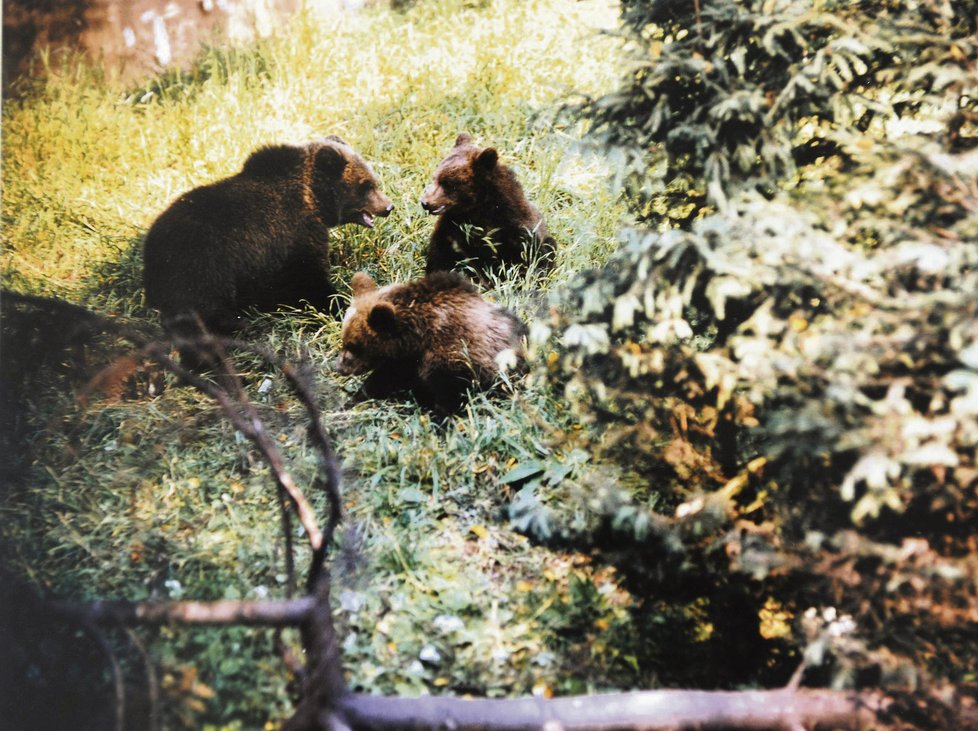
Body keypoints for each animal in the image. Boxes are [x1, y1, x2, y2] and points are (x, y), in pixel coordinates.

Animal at [142, 136, 392, 342]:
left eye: (373, 181)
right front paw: (340, 304)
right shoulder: (291, 237)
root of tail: (150, 248)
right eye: (366, 185)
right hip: (200, 263)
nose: (389, 207)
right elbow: (307, 279)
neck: (313, 199)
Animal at [422, 133, 552, 278]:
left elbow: (532, 258)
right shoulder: (451, 229)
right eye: (435, 178)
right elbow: (441, 256)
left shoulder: (516, 230)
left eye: (448, 183)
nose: (425, 202)